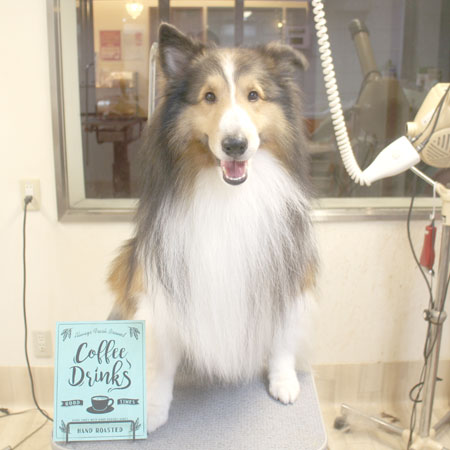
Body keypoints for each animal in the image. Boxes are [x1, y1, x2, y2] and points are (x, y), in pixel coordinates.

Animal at [108, 23, 319, 433]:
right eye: (209, 96)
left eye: (254, 95)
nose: (235, 145)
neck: (229, 195)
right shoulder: (163, 283)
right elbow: (160, 358)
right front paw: (153, 409)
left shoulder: (285, 271)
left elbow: (282, 335)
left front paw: (283, 380)